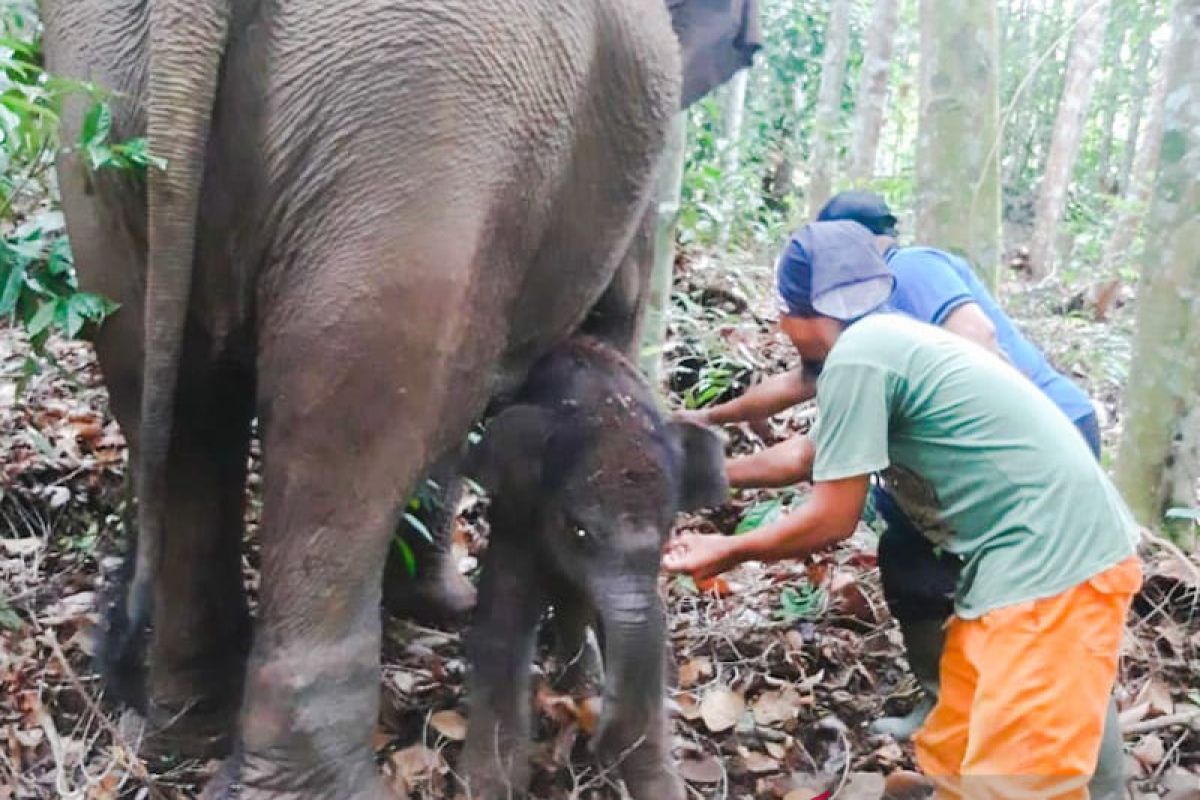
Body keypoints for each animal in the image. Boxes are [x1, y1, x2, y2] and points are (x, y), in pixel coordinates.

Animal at [458, 340, 720, 800]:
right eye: (577, 528)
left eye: (669, 530)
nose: (596, 739)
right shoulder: (519, 513)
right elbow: (504, 617)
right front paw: (485, 784)